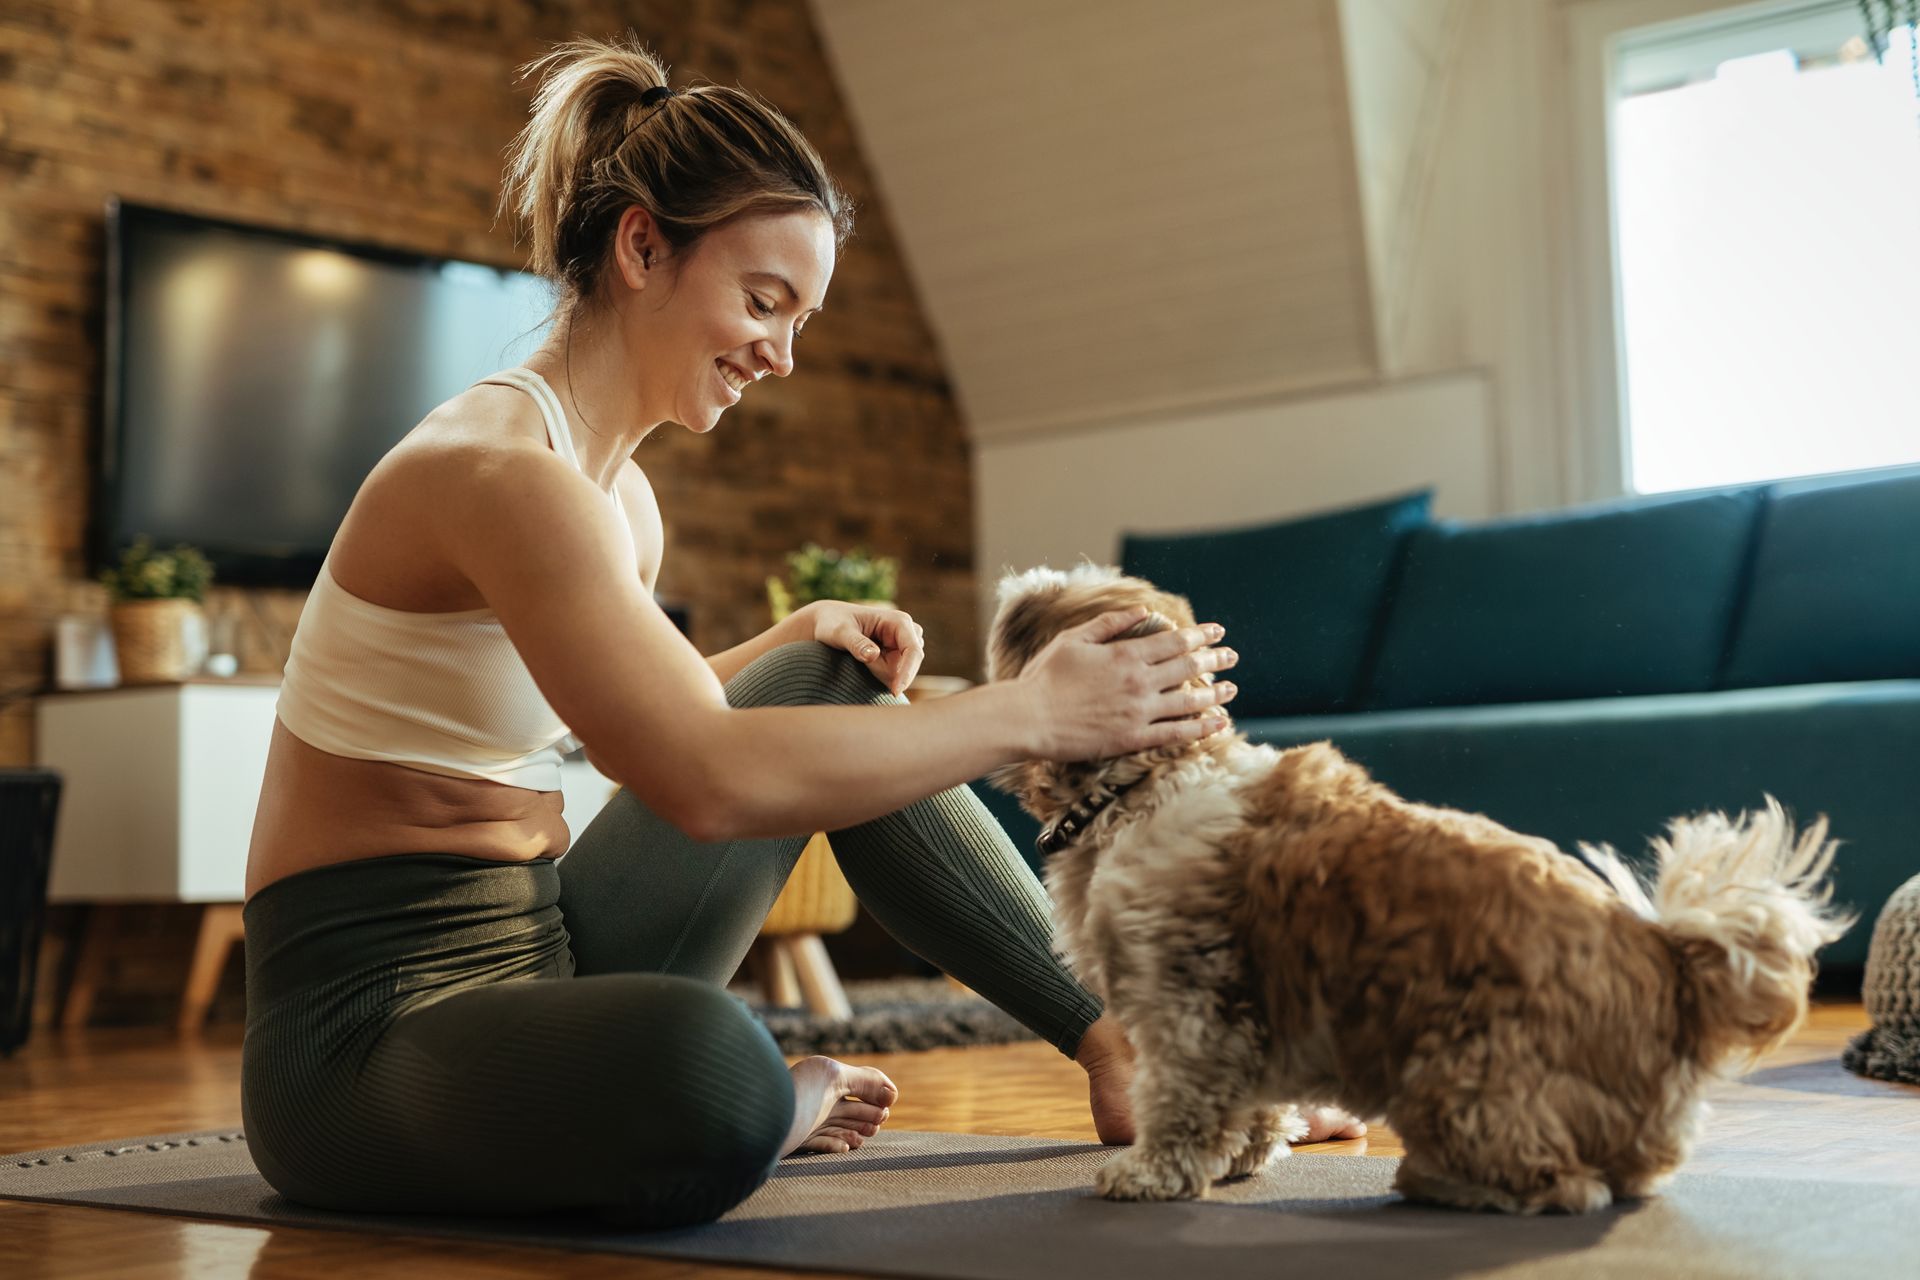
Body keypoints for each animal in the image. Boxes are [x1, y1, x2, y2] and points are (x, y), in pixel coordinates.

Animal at [983, 564, 1850, 1220]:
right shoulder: (1249, 1007)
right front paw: (1247, 1155)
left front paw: (1154, 1173)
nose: (1013, 582)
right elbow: (1254, 1104)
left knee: (1569, 1185)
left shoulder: (1186, 1005)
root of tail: (1668, 961)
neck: (1147, 783)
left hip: (1456, 1073)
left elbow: (1180, 1101)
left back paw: (1444, 1182)